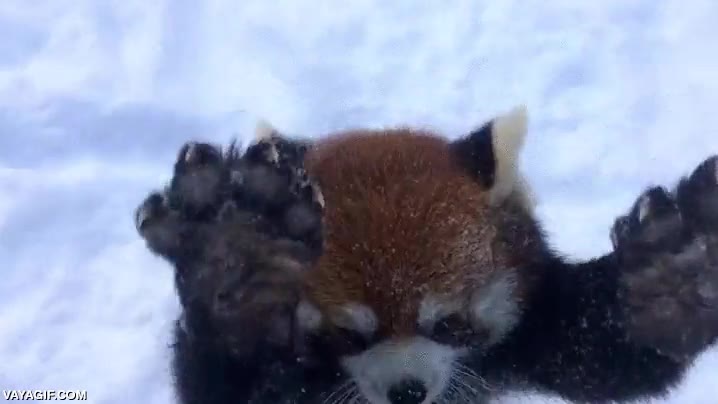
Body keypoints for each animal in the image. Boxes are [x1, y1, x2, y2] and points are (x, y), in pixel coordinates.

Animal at [135, 106, 718, 404]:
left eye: (448, 323)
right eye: (348, 334)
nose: (407, 392)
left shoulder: (530, 332)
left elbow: (604, 355)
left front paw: (668, 283)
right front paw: (242, 270)